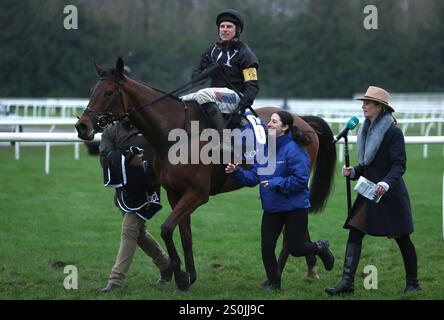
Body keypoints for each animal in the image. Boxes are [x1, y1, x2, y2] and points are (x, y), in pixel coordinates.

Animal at [75, 57, 336, 290]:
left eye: (109, 92)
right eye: (92, 90)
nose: (82, 126)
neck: (176, 134)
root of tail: (304, 122)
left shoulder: (197, 194)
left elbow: (166, 228)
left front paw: (181, 276)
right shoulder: (175, 193)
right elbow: (184, 234)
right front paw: (188, 276)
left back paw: (281, 274)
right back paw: (305, 267)